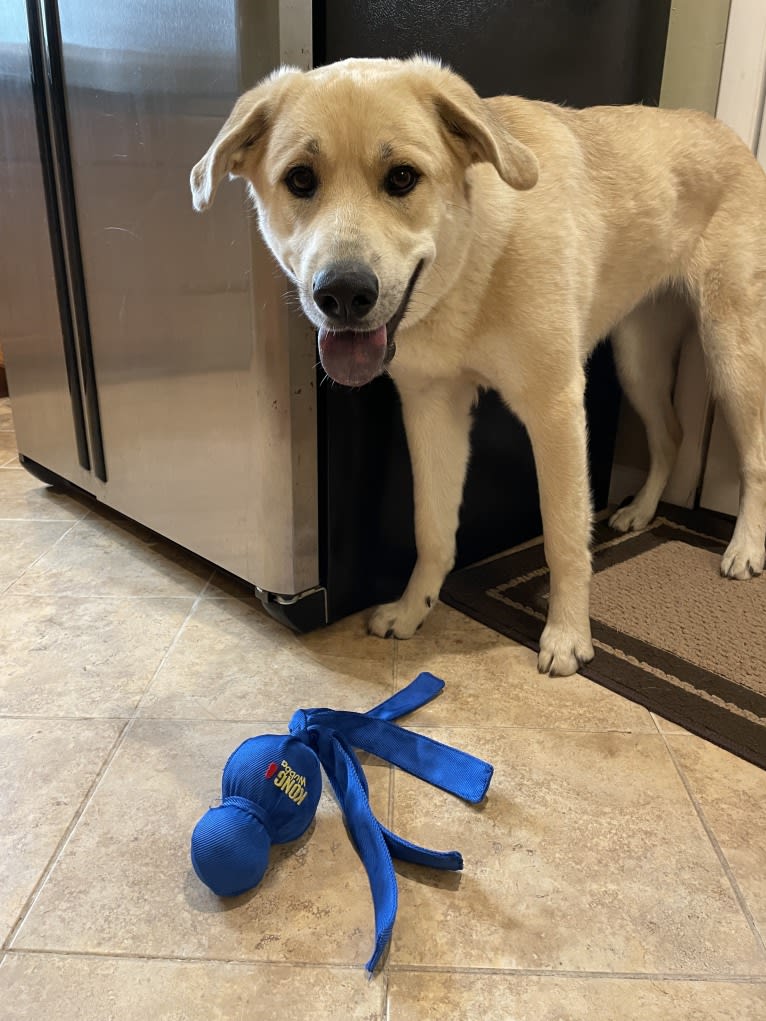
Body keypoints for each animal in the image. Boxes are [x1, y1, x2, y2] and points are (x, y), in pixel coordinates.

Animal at [190, 55, 766, 677]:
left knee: (754, 458)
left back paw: (744, 548)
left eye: (401, 178)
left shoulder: (556, 408)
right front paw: (413, 611)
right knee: (672, 435)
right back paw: (640, 511)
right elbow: (433, 529)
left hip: (731, 353)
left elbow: (565, 535)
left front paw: (568, 635)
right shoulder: (431, 408)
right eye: (300, 179)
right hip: (639, 358)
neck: (470, 264)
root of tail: (729, 135)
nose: (342, 295)